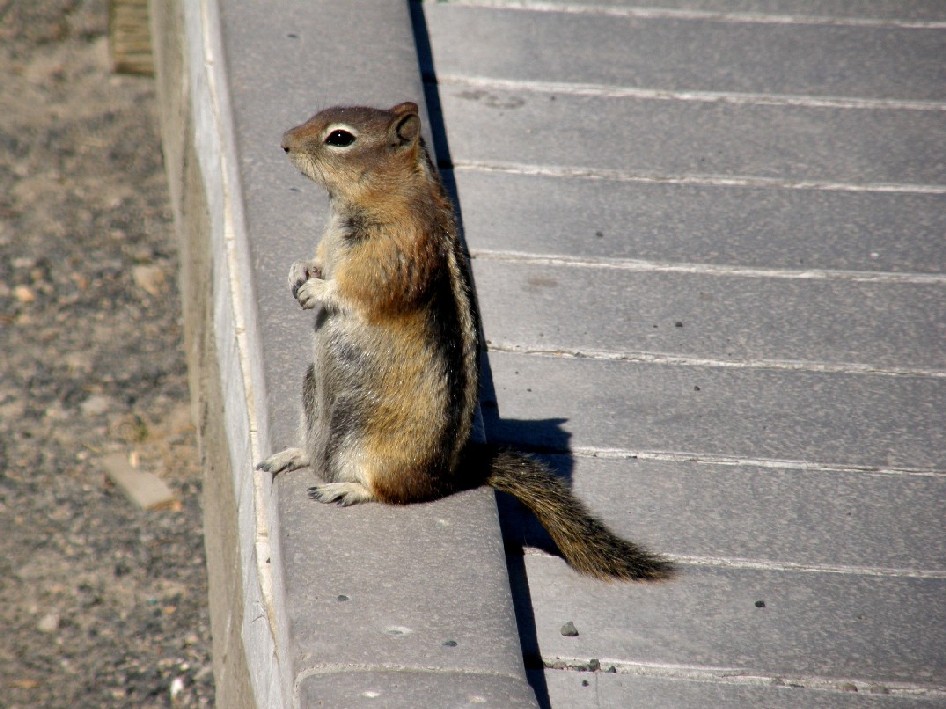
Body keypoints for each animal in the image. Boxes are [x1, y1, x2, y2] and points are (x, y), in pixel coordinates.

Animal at [258, 103, 672, 580]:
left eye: (340, 137)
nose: (283, 142)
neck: (379, 199)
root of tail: (451, 476)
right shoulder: (330, 244)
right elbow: (317, 260)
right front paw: (298, 272)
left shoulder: (394, 255)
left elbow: (356, 290)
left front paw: (316, 291)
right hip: (311, 395)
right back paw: (292, 455)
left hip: (380, 452)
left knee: (394, 492)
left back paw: (344, 488)